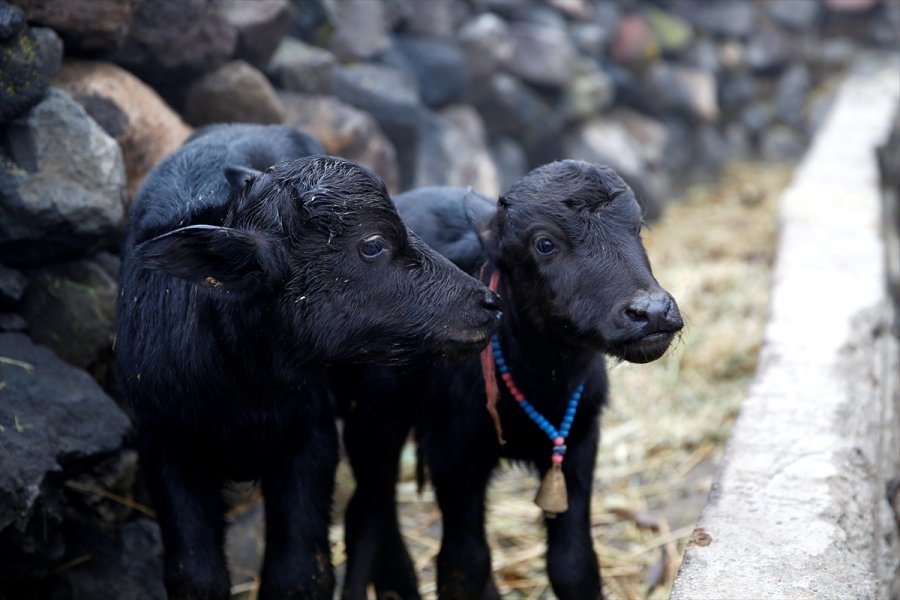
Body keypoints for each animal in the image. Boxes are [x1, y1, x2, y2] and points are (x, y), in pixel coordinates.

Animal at [114, 124, 500, 596]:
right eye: (373, 245)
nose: (487, 302)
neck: (244, 387)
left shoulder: (310, 441)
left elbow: (300, 572)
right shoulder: (168, 446)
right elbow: (195, 573)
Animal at [336, 161, 684, 600]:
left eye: (637, 227)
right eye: (544, 243)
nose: (651, 312)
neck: (543, 378)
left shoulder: (580, 440)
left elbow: (572, 564)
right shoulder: (452, 452)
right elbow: (463, 566)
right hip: (373, 421)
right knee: (369, 513)